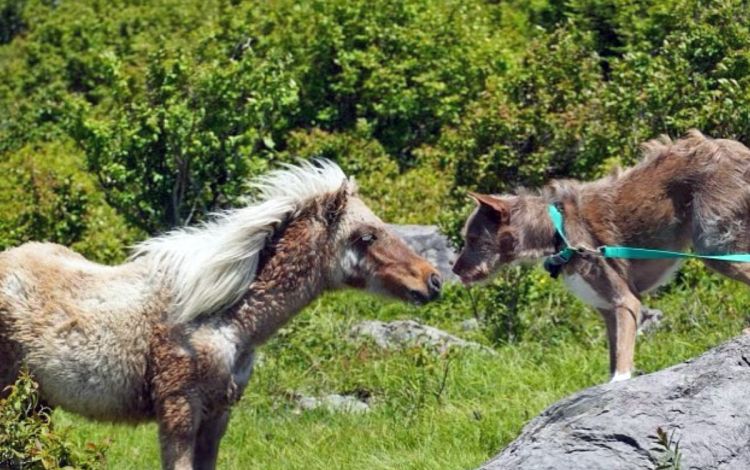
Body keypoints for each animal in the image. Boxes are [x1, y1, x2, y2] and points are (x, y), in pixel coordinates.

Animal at [0, 160, 444, 468]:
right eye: (366, 236)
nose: (433, 280)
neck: (222, 322)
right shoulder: (179, 411)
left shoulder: (219, 414)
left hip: (37, 401)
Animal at [452, 129, 750, 382]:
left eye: (473, 240)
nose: (454, 271)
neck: (556, 229)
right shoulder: (607, 309)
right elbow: (614, 354)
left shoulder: (627, 301)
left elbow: (622, 361)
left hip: (714, 245)